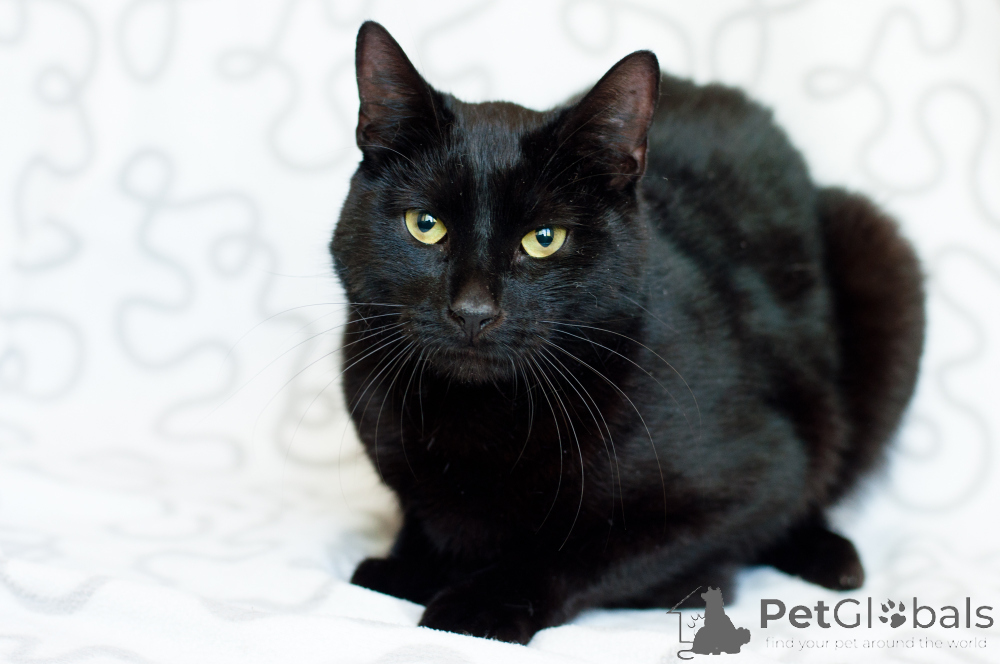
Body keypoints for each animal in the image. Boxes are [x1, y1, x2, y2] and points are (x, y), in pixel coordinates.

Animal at [332, 21, 925, 644]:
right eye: (425, 225)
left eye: (545, 238)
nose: (473, 310)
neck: (478, 417)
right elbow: (422, 517)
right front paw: (407, 566)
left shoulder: (754, 483)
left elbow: (581, 551)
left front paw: (481, 603)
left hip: (882, 252)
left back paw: (831, 557)